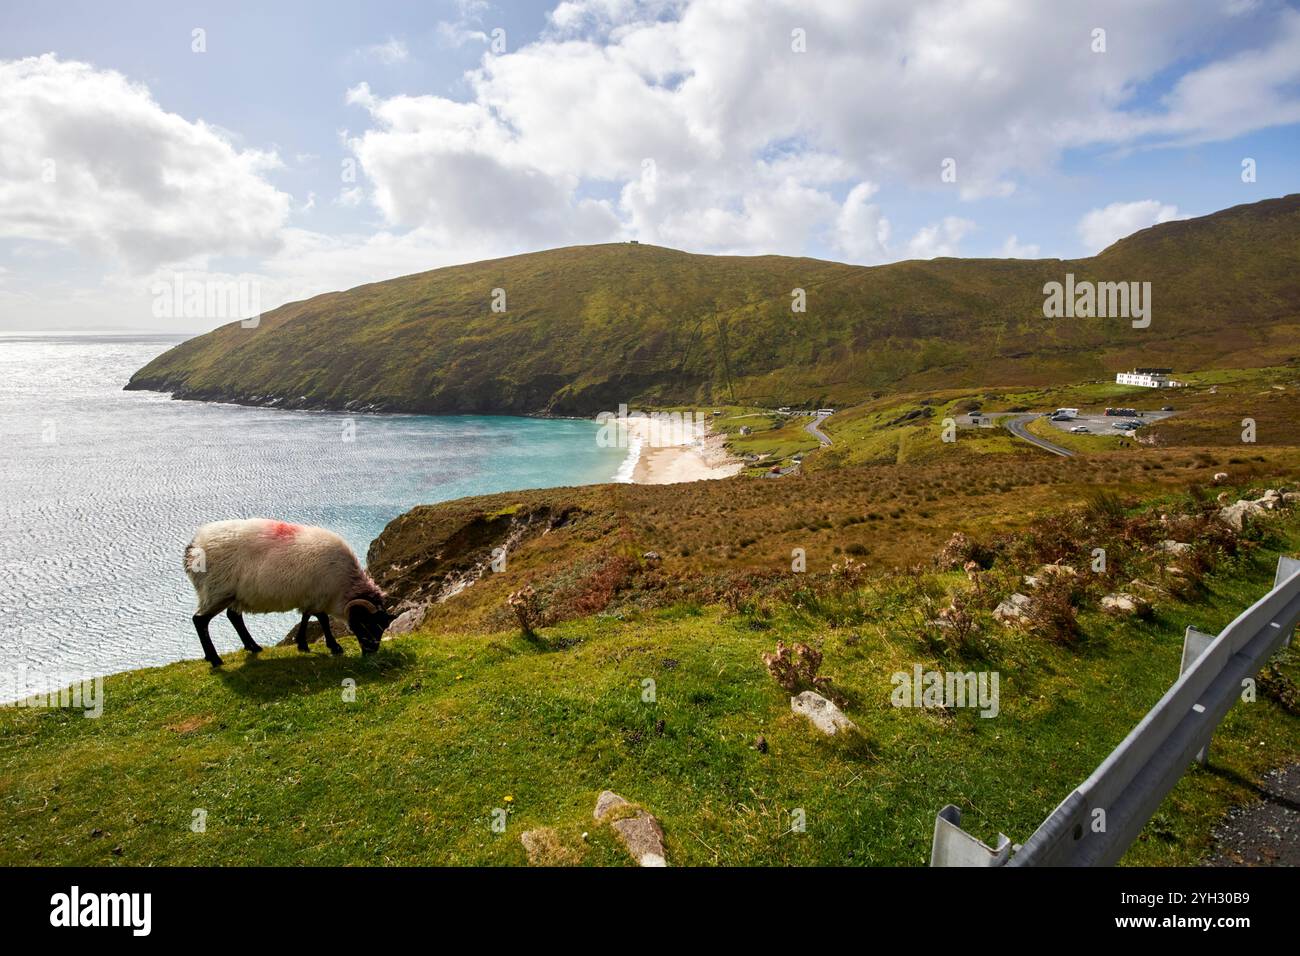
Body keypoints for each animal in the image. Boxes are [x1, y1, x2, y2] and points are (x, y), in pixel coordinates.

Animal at [184, 520, 390, 671]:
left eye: (382, 627)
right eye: (367, 623)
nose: (371, 653)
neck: (343, 585)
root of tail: (193, 547)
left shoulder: (310, 596)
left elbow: (306, 616)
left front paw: (302, 644)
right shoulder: (318, 595)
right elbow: (322, 619)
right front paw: (334, 647)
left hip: (234, 594)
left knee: (234, 617)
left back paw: (253, 647)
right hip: (216, 591)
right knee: (200, 621)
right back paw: (215, 659)